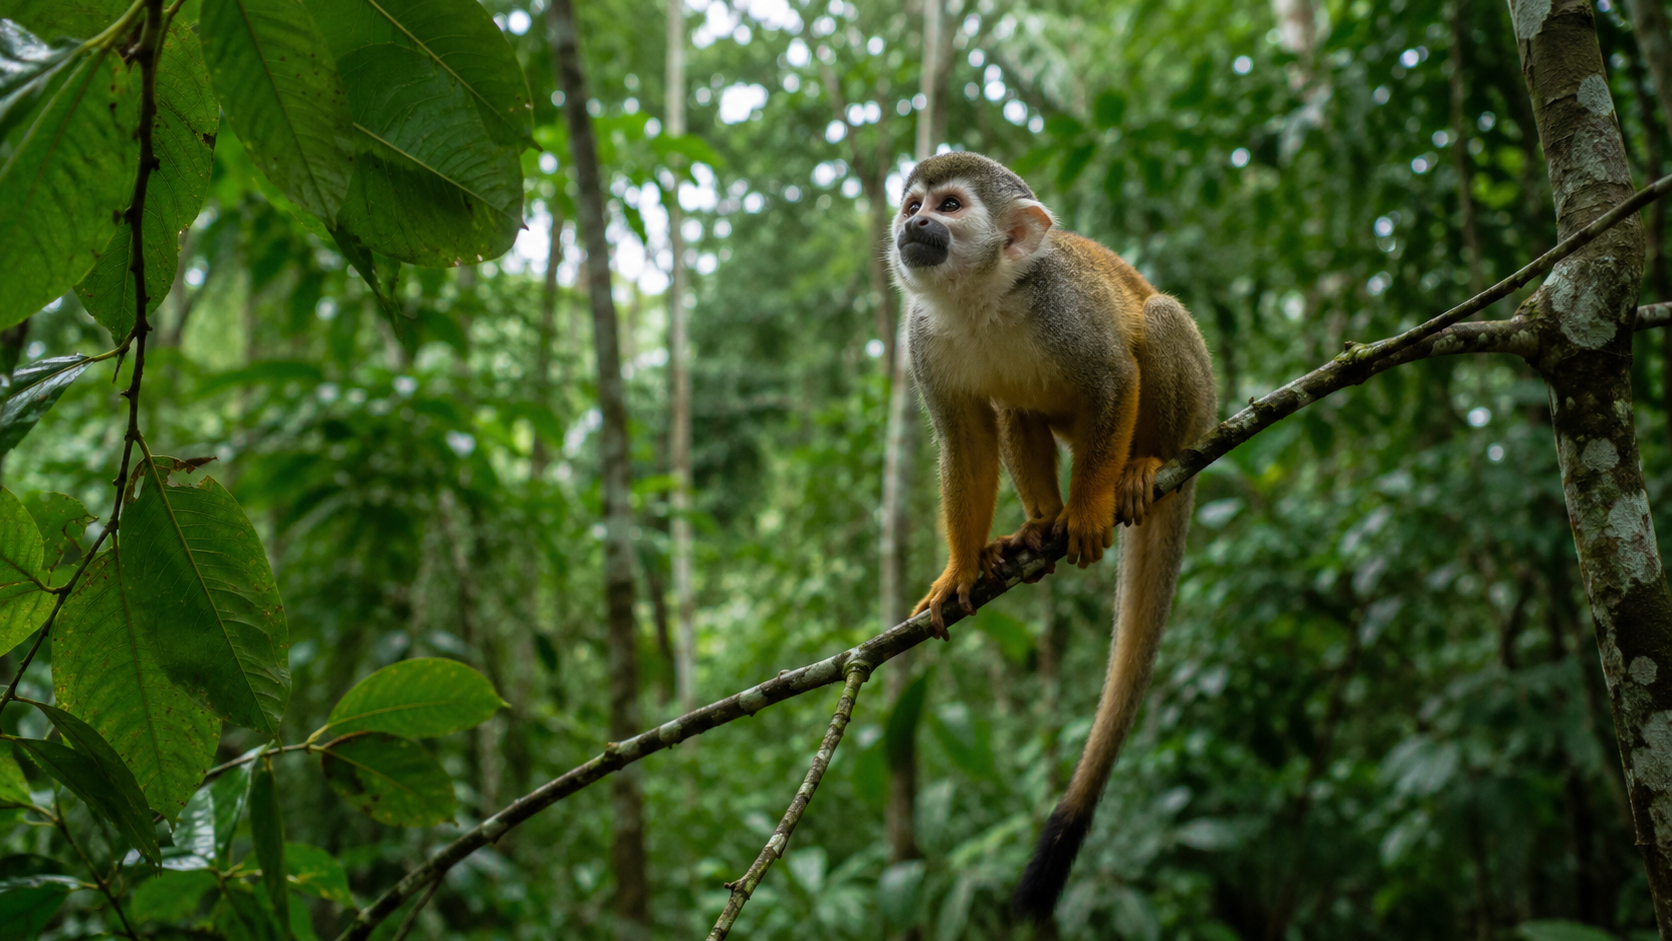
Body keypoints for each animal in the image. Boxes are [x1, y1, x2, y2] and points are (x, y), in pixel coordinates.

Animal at [887, 151, 1217, 923]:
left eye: (949, 206)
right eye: (914, 204)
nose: (913, 224)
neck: (980, 296)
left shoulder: (1063, 308)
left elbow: (1113, 376)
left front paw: (1091, 507)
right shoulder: (922, 335)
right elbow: (966, 439)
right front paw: (959, 569)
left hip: (1199, 403)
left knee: (1156, 321)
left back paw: (1141, 469)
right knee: (1014, 406)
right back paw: (1037, 528)